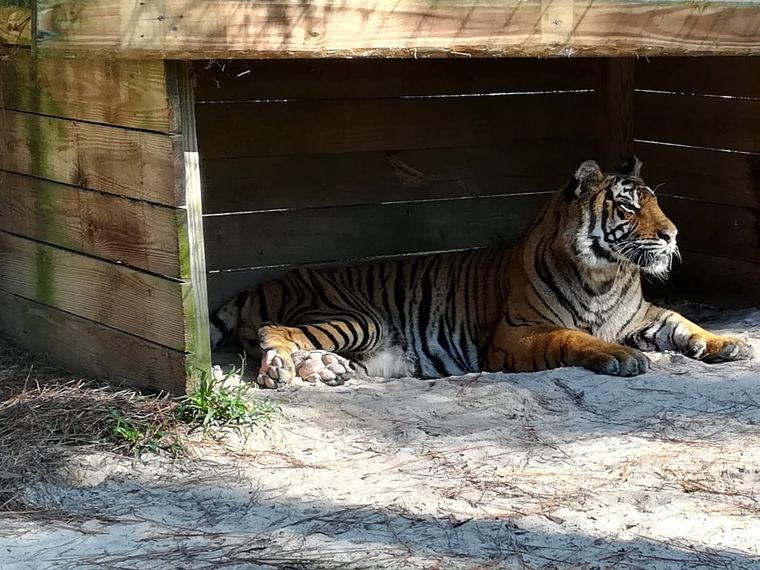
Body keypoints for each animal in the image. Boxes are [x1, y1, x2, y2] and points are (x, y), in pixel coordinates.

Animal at [210, 156, 753, 388]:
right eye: (627, 207)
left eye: (655, 202)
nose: (673, 234)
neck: (605, 275)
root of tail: (261, 283)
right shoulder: (515, 333)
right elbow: (572, 338)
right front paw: (619, 356)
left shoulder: (641, 314)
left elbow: (683, 323)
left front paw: (731, 344)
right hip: (359, 319)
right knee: (274, 333)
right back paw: (280, 371)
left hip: (378, 350)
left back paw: (326, 370)